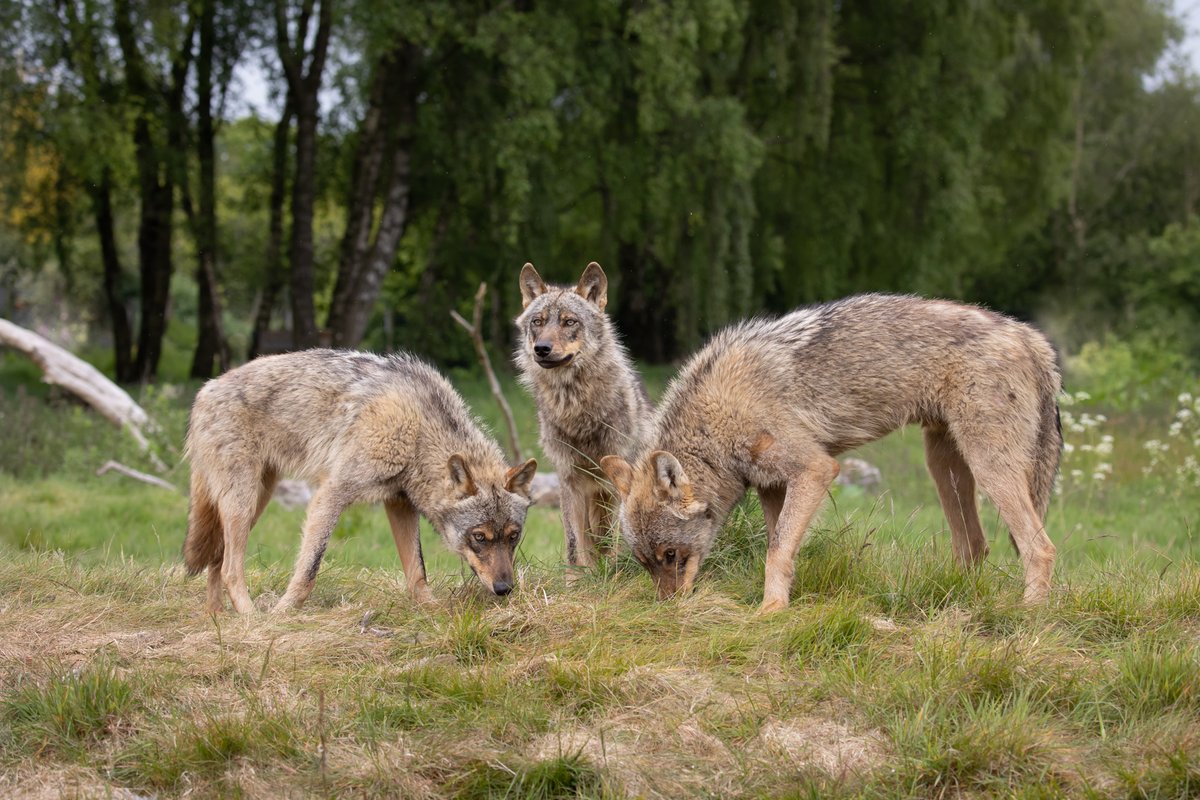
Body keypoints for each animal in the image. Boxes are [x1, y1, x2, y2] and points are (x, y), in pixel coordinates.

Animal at [183, 347, 540, 618]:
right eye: (479, 537)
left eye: (513, 537)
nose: (504, 589)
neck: (418, 430)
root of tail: (204, 391)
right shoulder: (331, 493)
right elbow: (308, 570)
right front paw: (283, 613)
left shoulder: (399, 502)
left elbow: (417, 571)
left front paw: (431, 610)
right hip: (243, 505)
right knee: (230, 568)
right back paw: (250, 617)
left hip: (255, 501)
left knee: (217, 559)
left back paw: (217, 615)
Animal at [511, 266, 652, 573]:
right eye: (538, 322)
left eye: (569, 322)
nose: (542, 348)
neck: (574, 405)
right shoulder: (569, 479)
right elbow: (575, 544)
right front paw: (578, 578)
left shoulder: (613, 479)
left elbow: (611, 540)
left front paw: (612, 574)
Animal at [604, 297, 1065, 609]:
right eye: (646, 564)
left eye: (671, 556)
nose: (668, 610)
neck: (718, 419)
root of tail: (1030, 336)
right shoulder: (773, 487)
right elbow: (779, 548)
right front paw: (779, 603)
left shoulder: (815, 469)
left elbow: (775, 553)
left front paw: (770, 611)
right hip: (944, 467)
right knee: (975, 546)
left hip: (988, 467)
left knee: (1040, 548)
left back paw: (1028, 614)